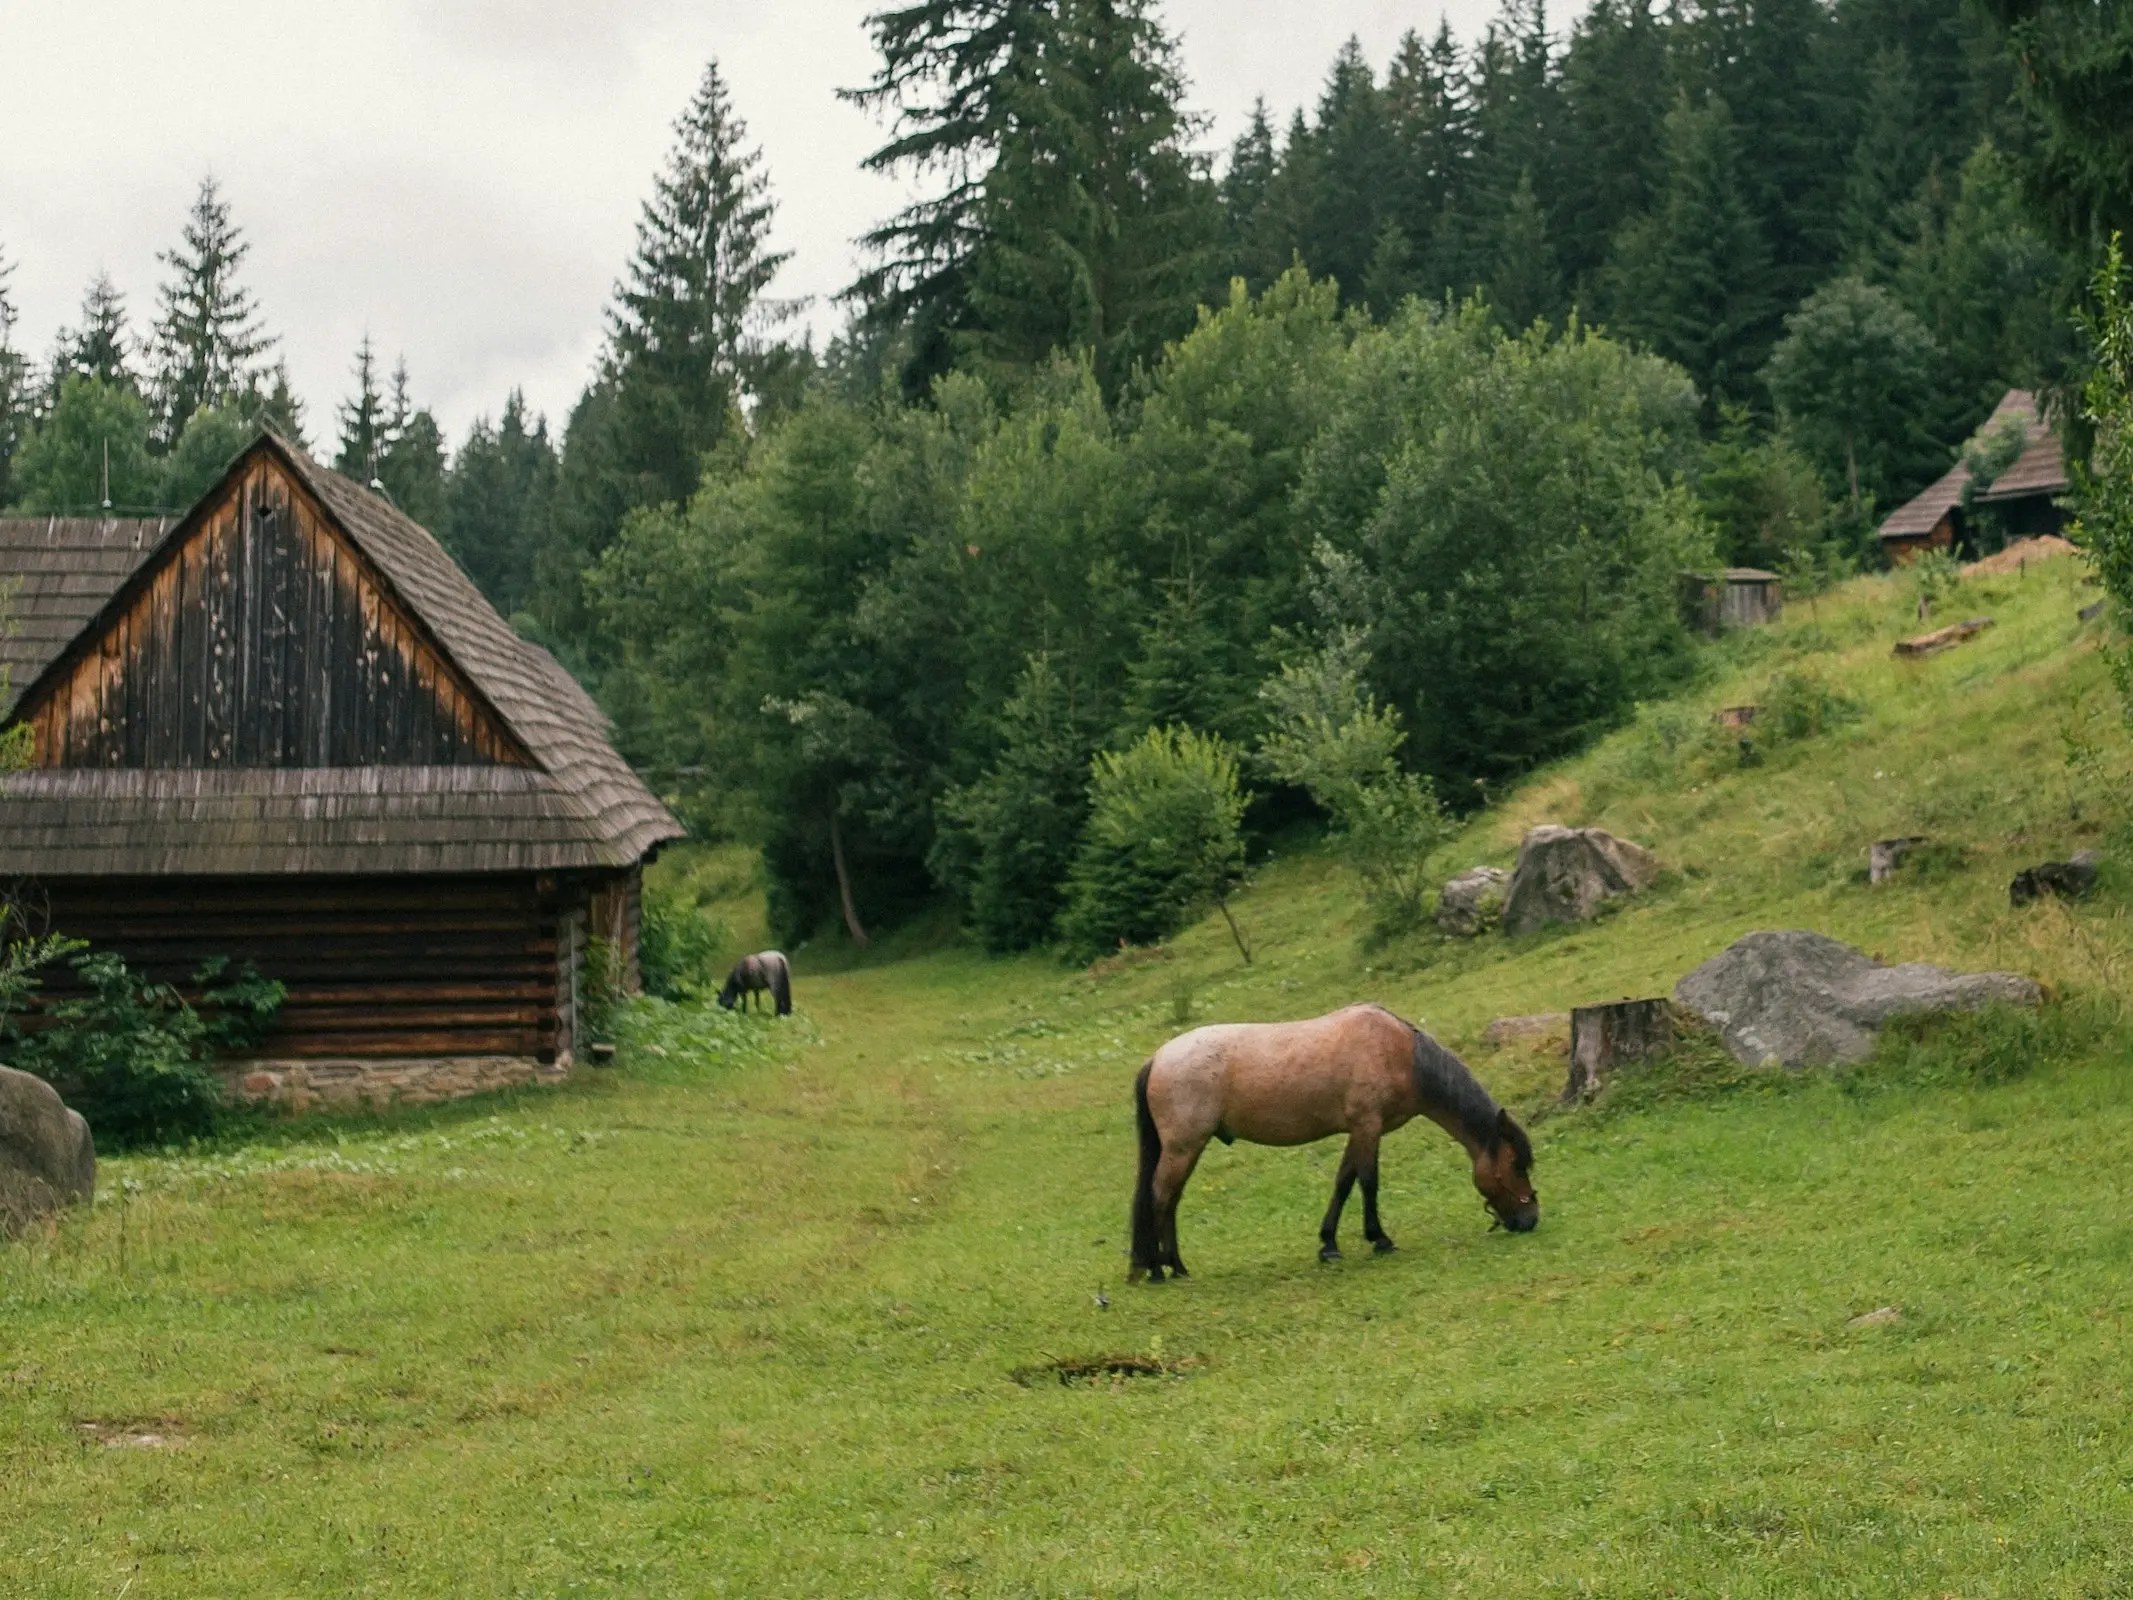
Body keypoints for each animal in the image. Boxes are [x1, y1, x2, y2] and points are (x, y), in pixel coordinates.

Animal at [1134, 1006, 1535, 1288]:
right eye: (1517, 1165)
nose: (1530, 1219)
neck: (1399, 1051)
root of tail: (1157, 1058)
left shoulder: (1358, 1130)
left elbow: (1344, 1182)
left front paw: (1328, 1245)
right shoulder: (1368, 1126)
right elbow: (1368, 1182)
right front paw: (1379, 1239)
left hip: (1186, 1150)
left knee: (1171, 1200)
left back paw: (1175, 1266)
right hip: (1184, 1147)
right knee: (1160, 1197)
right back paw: (1157, 1269)